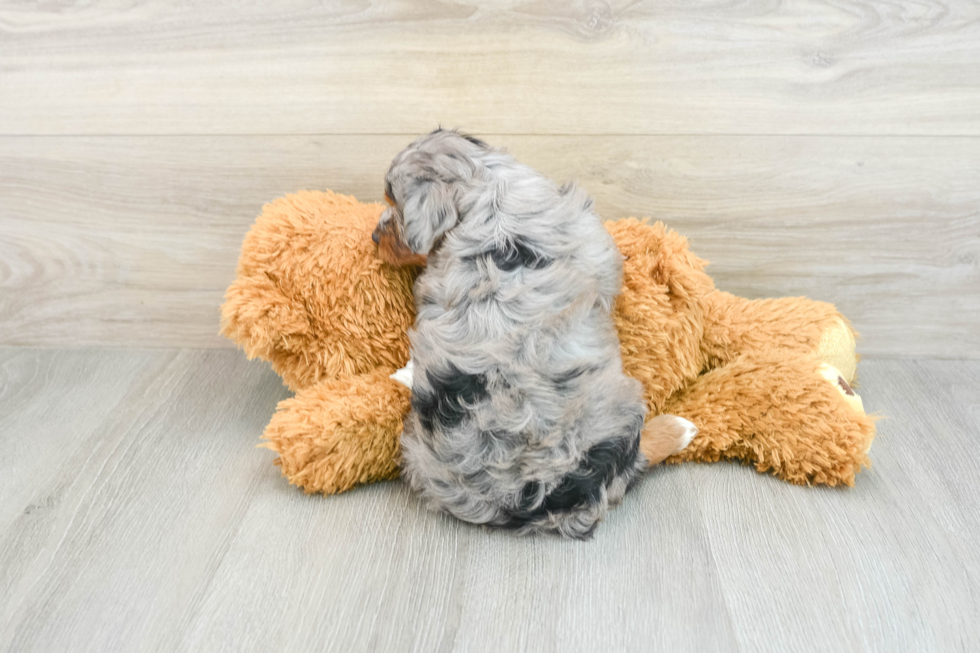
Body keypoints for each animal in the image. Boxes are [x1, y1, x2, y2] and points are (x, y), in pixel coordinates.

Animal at [370, 130, 696, 536]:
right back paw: (678, 429)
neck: (487, 186)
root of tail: (543, 497)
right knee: (637, 456)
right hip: (621, 406)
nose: (373, 237)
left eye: (395, 208)